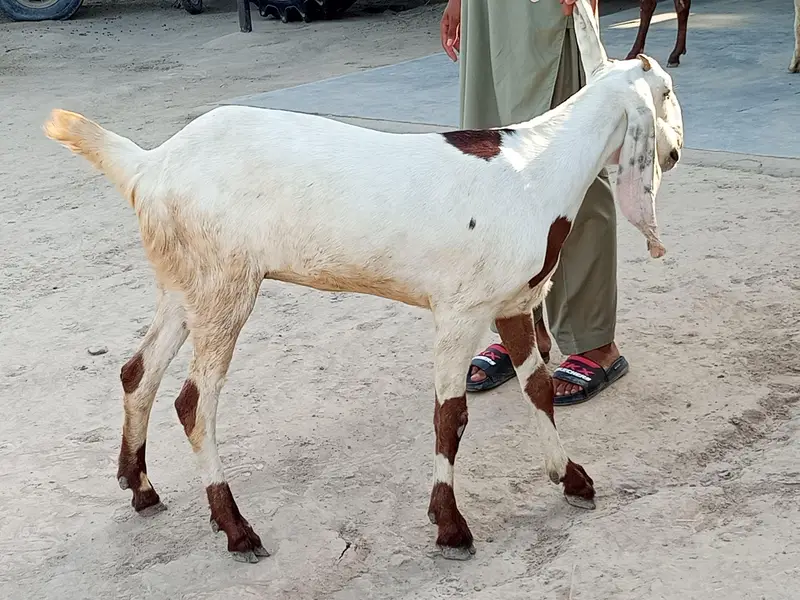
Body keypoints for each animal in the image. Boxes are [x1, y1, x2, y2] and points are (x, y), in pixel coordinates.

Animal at [44, 0, 683, 563]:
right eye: (667, 94)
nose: (676, 151)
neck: (540, 163)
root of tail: (151, 165)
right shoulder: (459, 310)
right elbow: (449, 416)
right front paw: (450, 527)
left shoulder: (512, 302)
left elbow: (539, 389)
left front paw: (571, 478)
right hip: (226, 285)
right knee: (193, 403)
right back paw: (237, 530)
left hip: (188, 282)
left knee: (138, 372)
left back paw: (141, 487)